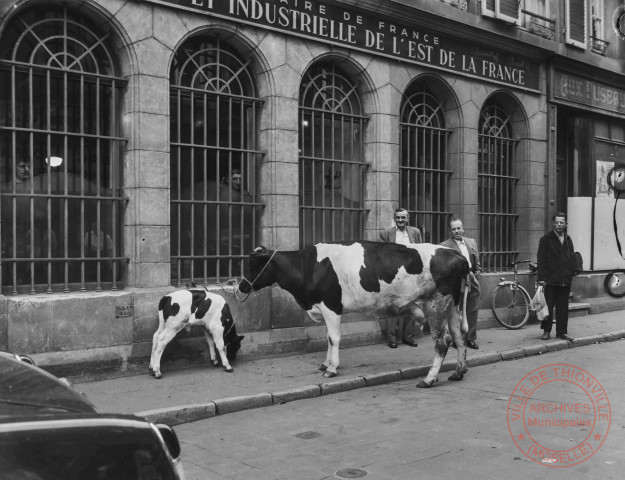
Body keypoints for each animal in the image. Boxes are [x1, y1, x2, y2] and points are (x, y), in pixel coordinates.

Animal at [239, 242, 468, 388]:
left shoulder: (331, 307)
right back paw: (458, 372)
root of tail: (457, 255)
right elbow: (328, 339)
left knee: (443, 341)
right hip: (452, 306)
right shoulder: (325, 309)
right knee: (459, 337)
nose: (241, 286)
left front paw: (331, 368)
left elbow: (334, 338)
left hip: (436, 304)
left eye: (253, 264)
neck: (309, 267)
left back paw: (429, 379)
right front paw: (326, 363)